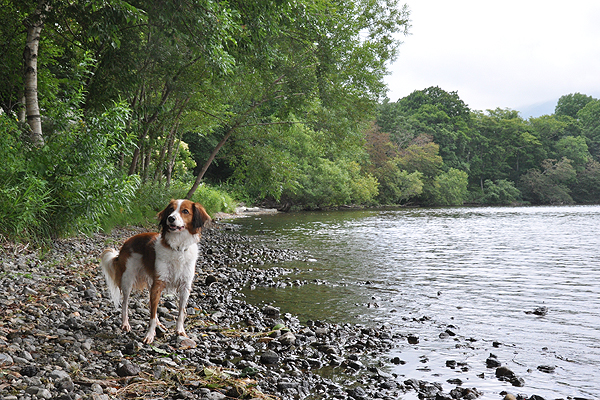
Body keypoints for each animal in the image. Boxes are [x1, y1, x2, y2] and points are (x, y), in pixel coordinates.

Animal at [99, 200, 211, 344]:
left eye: (185, 211)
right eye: (171, 210)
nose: (171, 218)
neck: (177, 247)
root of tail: (127, 242)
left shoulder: (185, 286)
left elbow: (181, 312)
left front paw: (180, 331)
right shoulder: (158, 284)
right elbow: (152, 314)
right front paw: (149, 335)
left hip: (149, 281)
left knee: (150, 304)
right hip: (127, 279)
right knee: (125, 303)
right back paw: (125, 324)